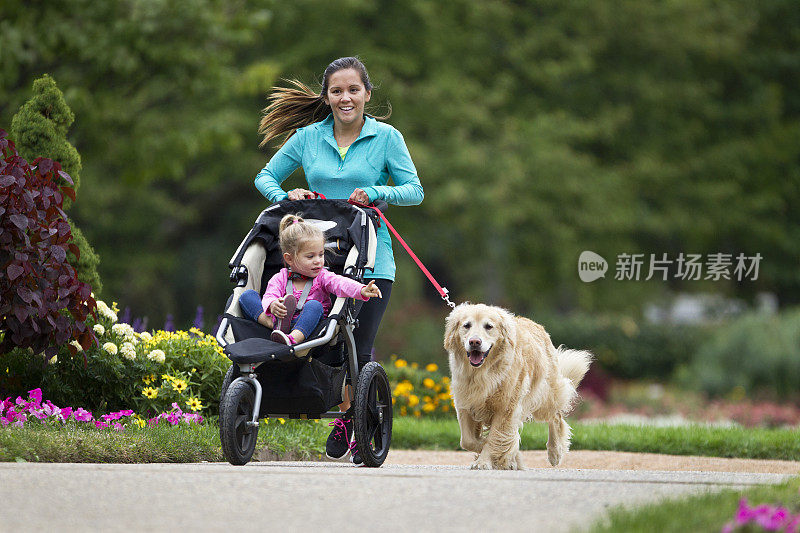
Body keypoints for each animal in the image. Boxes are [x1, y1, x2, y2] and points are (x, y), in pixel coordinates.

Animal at [444, 304, 592, 470]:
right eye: (466, 325)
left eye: (488, 326)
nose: (474, 342)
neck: (482, 373)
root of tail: (537, 325)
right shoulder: (465, 404)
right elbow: (468, 440)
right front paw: (508, 456)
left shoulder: (506, 409)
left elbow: (495, 438)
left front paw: (486, 460)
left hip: (545, 398)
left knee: (556, 417)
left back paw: (555, 452)